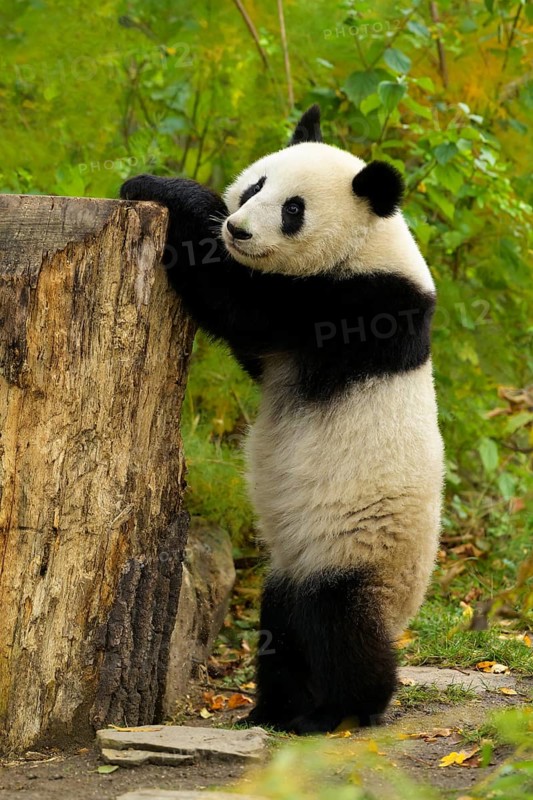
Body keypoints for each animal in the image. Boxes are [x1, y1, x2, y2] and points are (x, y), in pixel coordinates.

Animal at [121, 105, 445, 734]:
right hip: (293, 564)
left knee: (338, 625)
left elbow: (239, 300)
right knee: (283, 629)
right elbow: (250, 342)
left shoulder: (353, 304)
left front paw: (162, 189)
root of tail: (405, 606)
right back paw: (274, 710)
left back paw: (346, 710)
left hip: (358, 550)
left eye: (293, 210)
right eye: (255, 186)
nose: (238, 230)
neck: (370, 242)